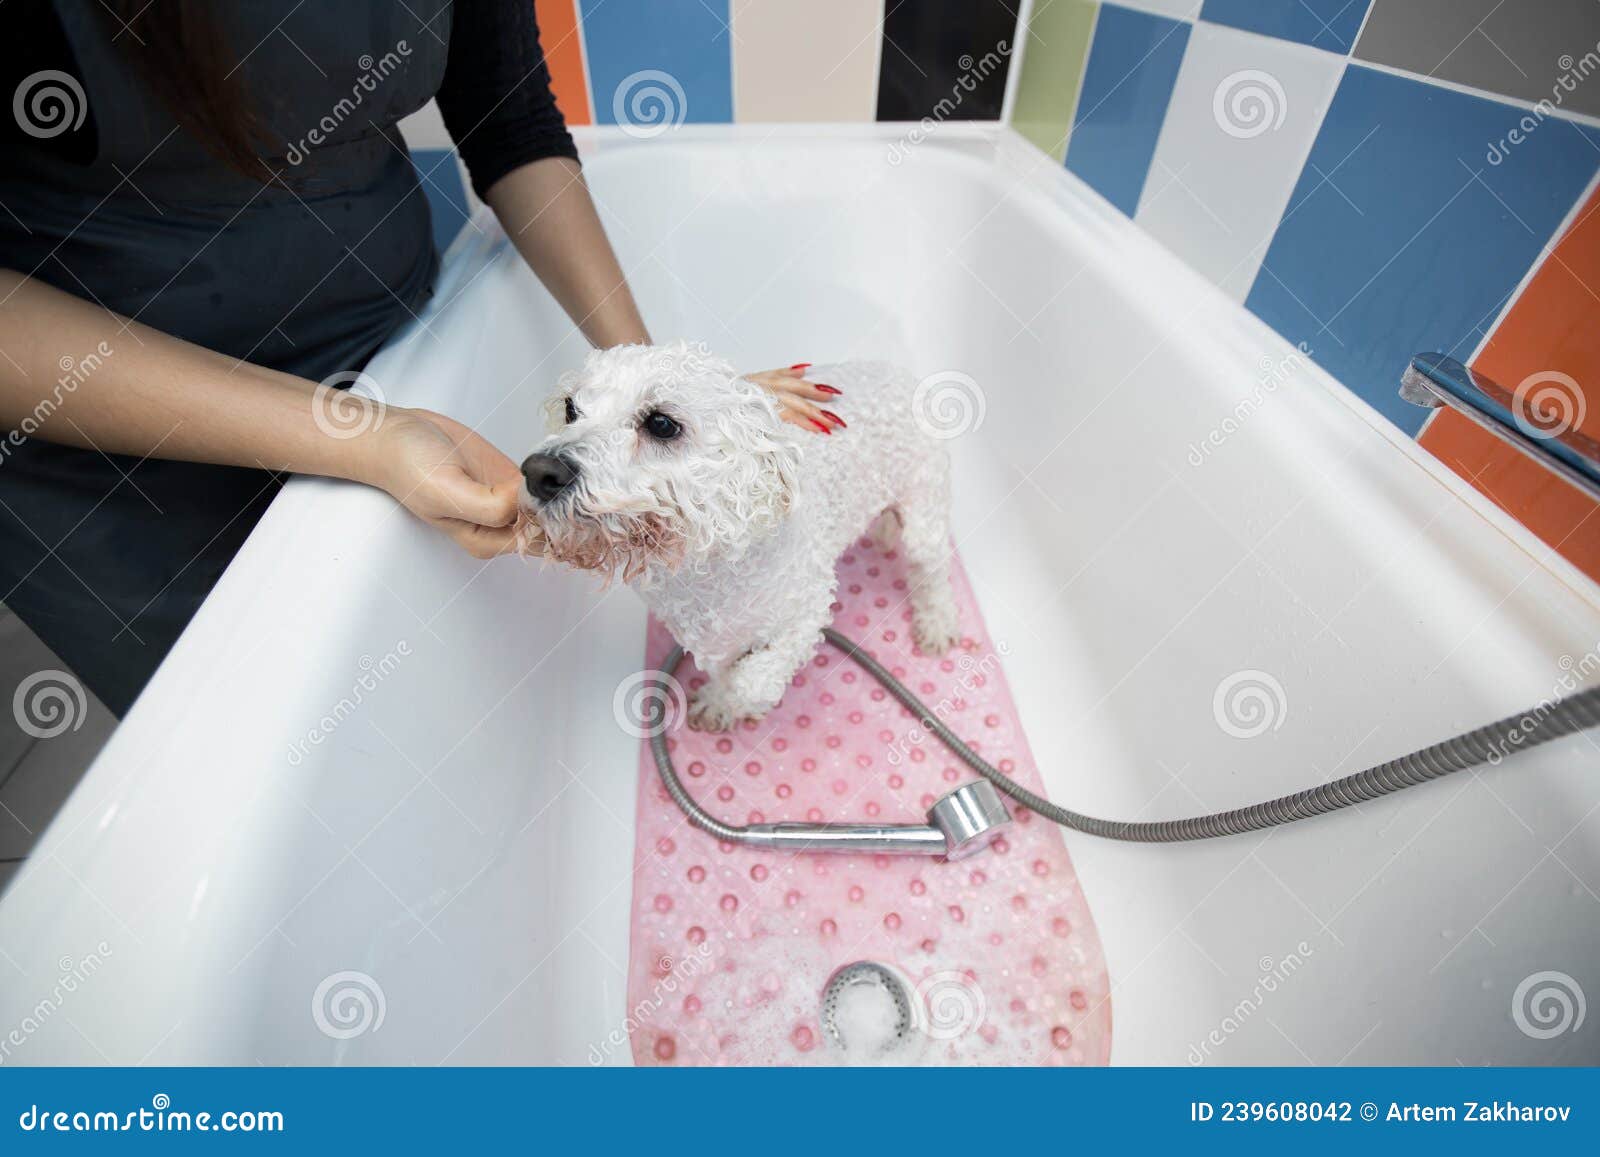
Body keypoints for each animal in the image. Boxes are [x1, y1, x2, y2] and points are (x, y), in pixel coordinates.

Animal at [518, 339, 953, 729]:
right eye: (571, 409)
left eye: (661, 423)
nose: (539, 472)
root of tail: (893, 369)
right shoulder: (715, 639)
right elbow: (726, 671)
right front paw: (719, 702)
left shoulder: (807, 611)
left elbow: (752, 682)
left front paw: (734, 702)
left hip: (923, 510)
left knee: (931, 568)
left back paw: (936, 623)